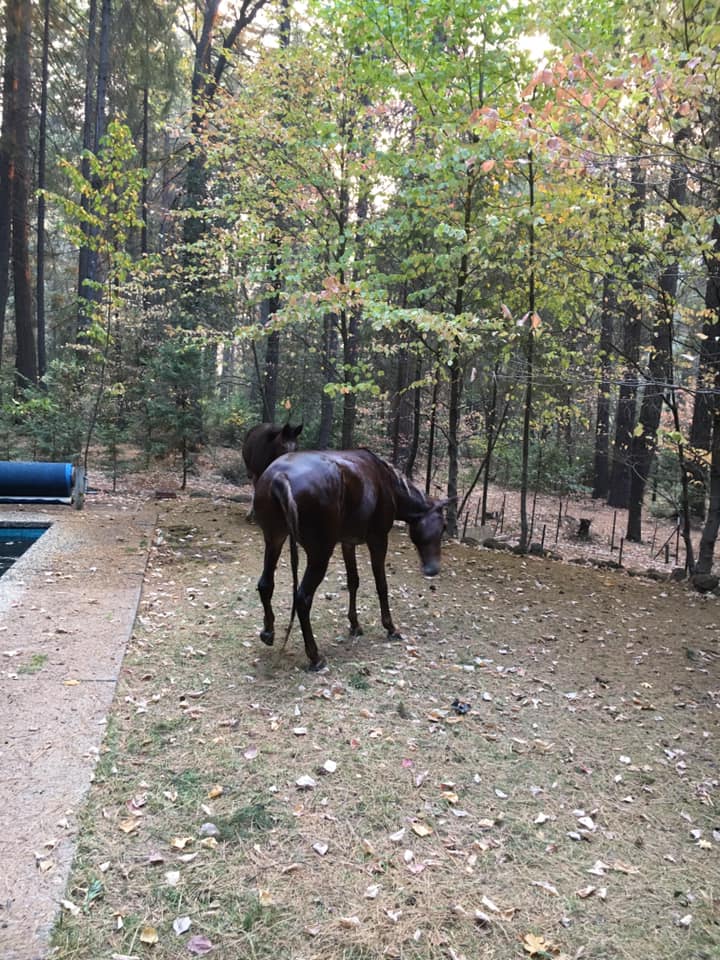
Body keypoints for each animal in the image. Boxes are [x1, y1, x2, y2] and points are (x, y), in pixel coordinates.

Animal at [252, 449, 449, 670]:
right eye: (444, 526)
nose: (433, 569)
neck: (388, 483)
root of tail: (280, 476)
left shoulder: (348, 542)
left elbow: (353, 581)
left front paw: (355, 625)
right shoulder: (378, 539)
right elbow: (381, 585)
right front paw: (390, 627)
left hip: (274, 540)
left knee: (266, 584)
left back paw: (268, 632)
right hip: (319, 554)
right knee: (302, 599)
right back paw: (315, 657)